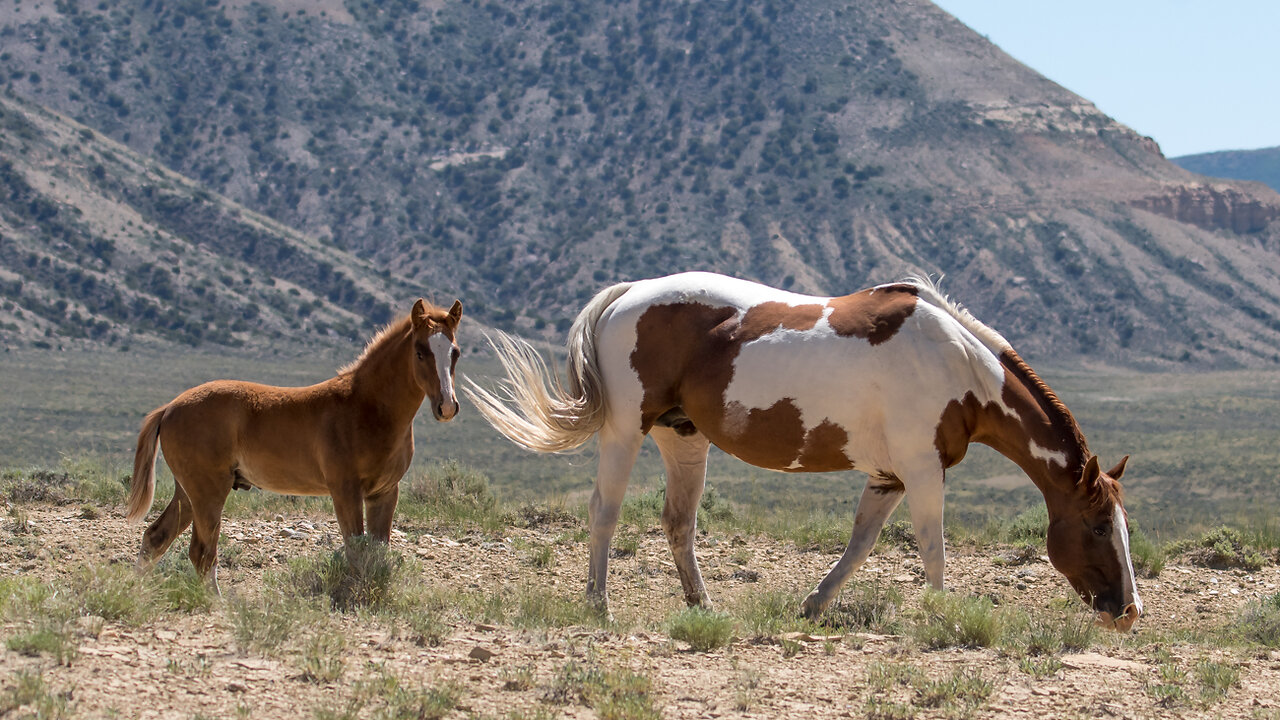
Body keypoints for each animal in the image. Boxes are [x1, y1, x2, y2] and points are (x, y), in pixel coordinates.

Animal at [124, 295, 463, 584]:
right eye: (420, 351)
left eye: (455, 352)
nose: (447, 407)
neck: (366, 407)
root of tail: (169, 408)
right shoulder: (345, 491)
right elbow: (355, 551)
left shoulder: (384, 493)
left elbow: (377, 552)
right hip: (208, 491)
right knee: (202, 553)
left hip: (188, 492)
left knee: (155, 538)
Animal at [465, 271, 1146, 630]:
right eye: (1095, 525)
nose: (1129, 611)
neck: (957, 365)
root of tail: (627, 293)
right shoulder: (923, 471)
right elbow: (932, 546)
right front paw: (942, 615)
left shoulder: (889, 476)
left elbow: (862, 542)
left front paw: (814, 604)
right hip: (625, 431)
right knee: (605, 513)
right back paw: (599, 606)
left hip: (682, 438)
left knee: (679, 523)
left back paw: (703, 606)